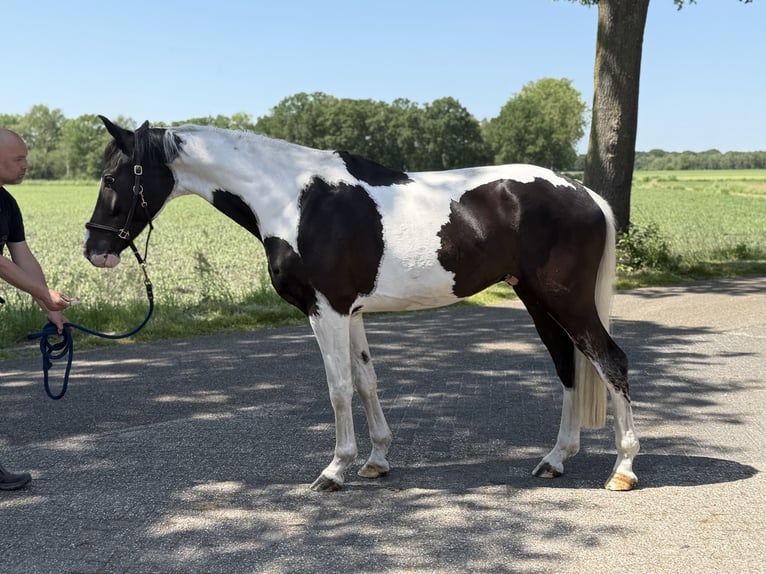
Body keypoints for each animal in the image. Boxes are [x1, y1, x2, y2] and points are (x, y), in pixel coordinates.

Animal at [83, 116, 639, 492]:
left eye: (112, 178)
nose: (96, 250)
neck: (293, 199)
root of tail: (584, 193)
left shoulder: (324, 310)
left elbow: (338, 388)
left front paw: (335, 469)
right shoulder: (349, 313)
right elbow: (367, 380)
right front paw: (376, 460)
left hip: (564, 298)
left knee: (610, 361)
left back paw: (623, 468)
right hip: (537, 298)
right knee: (568, 365)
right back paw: (556, 459)